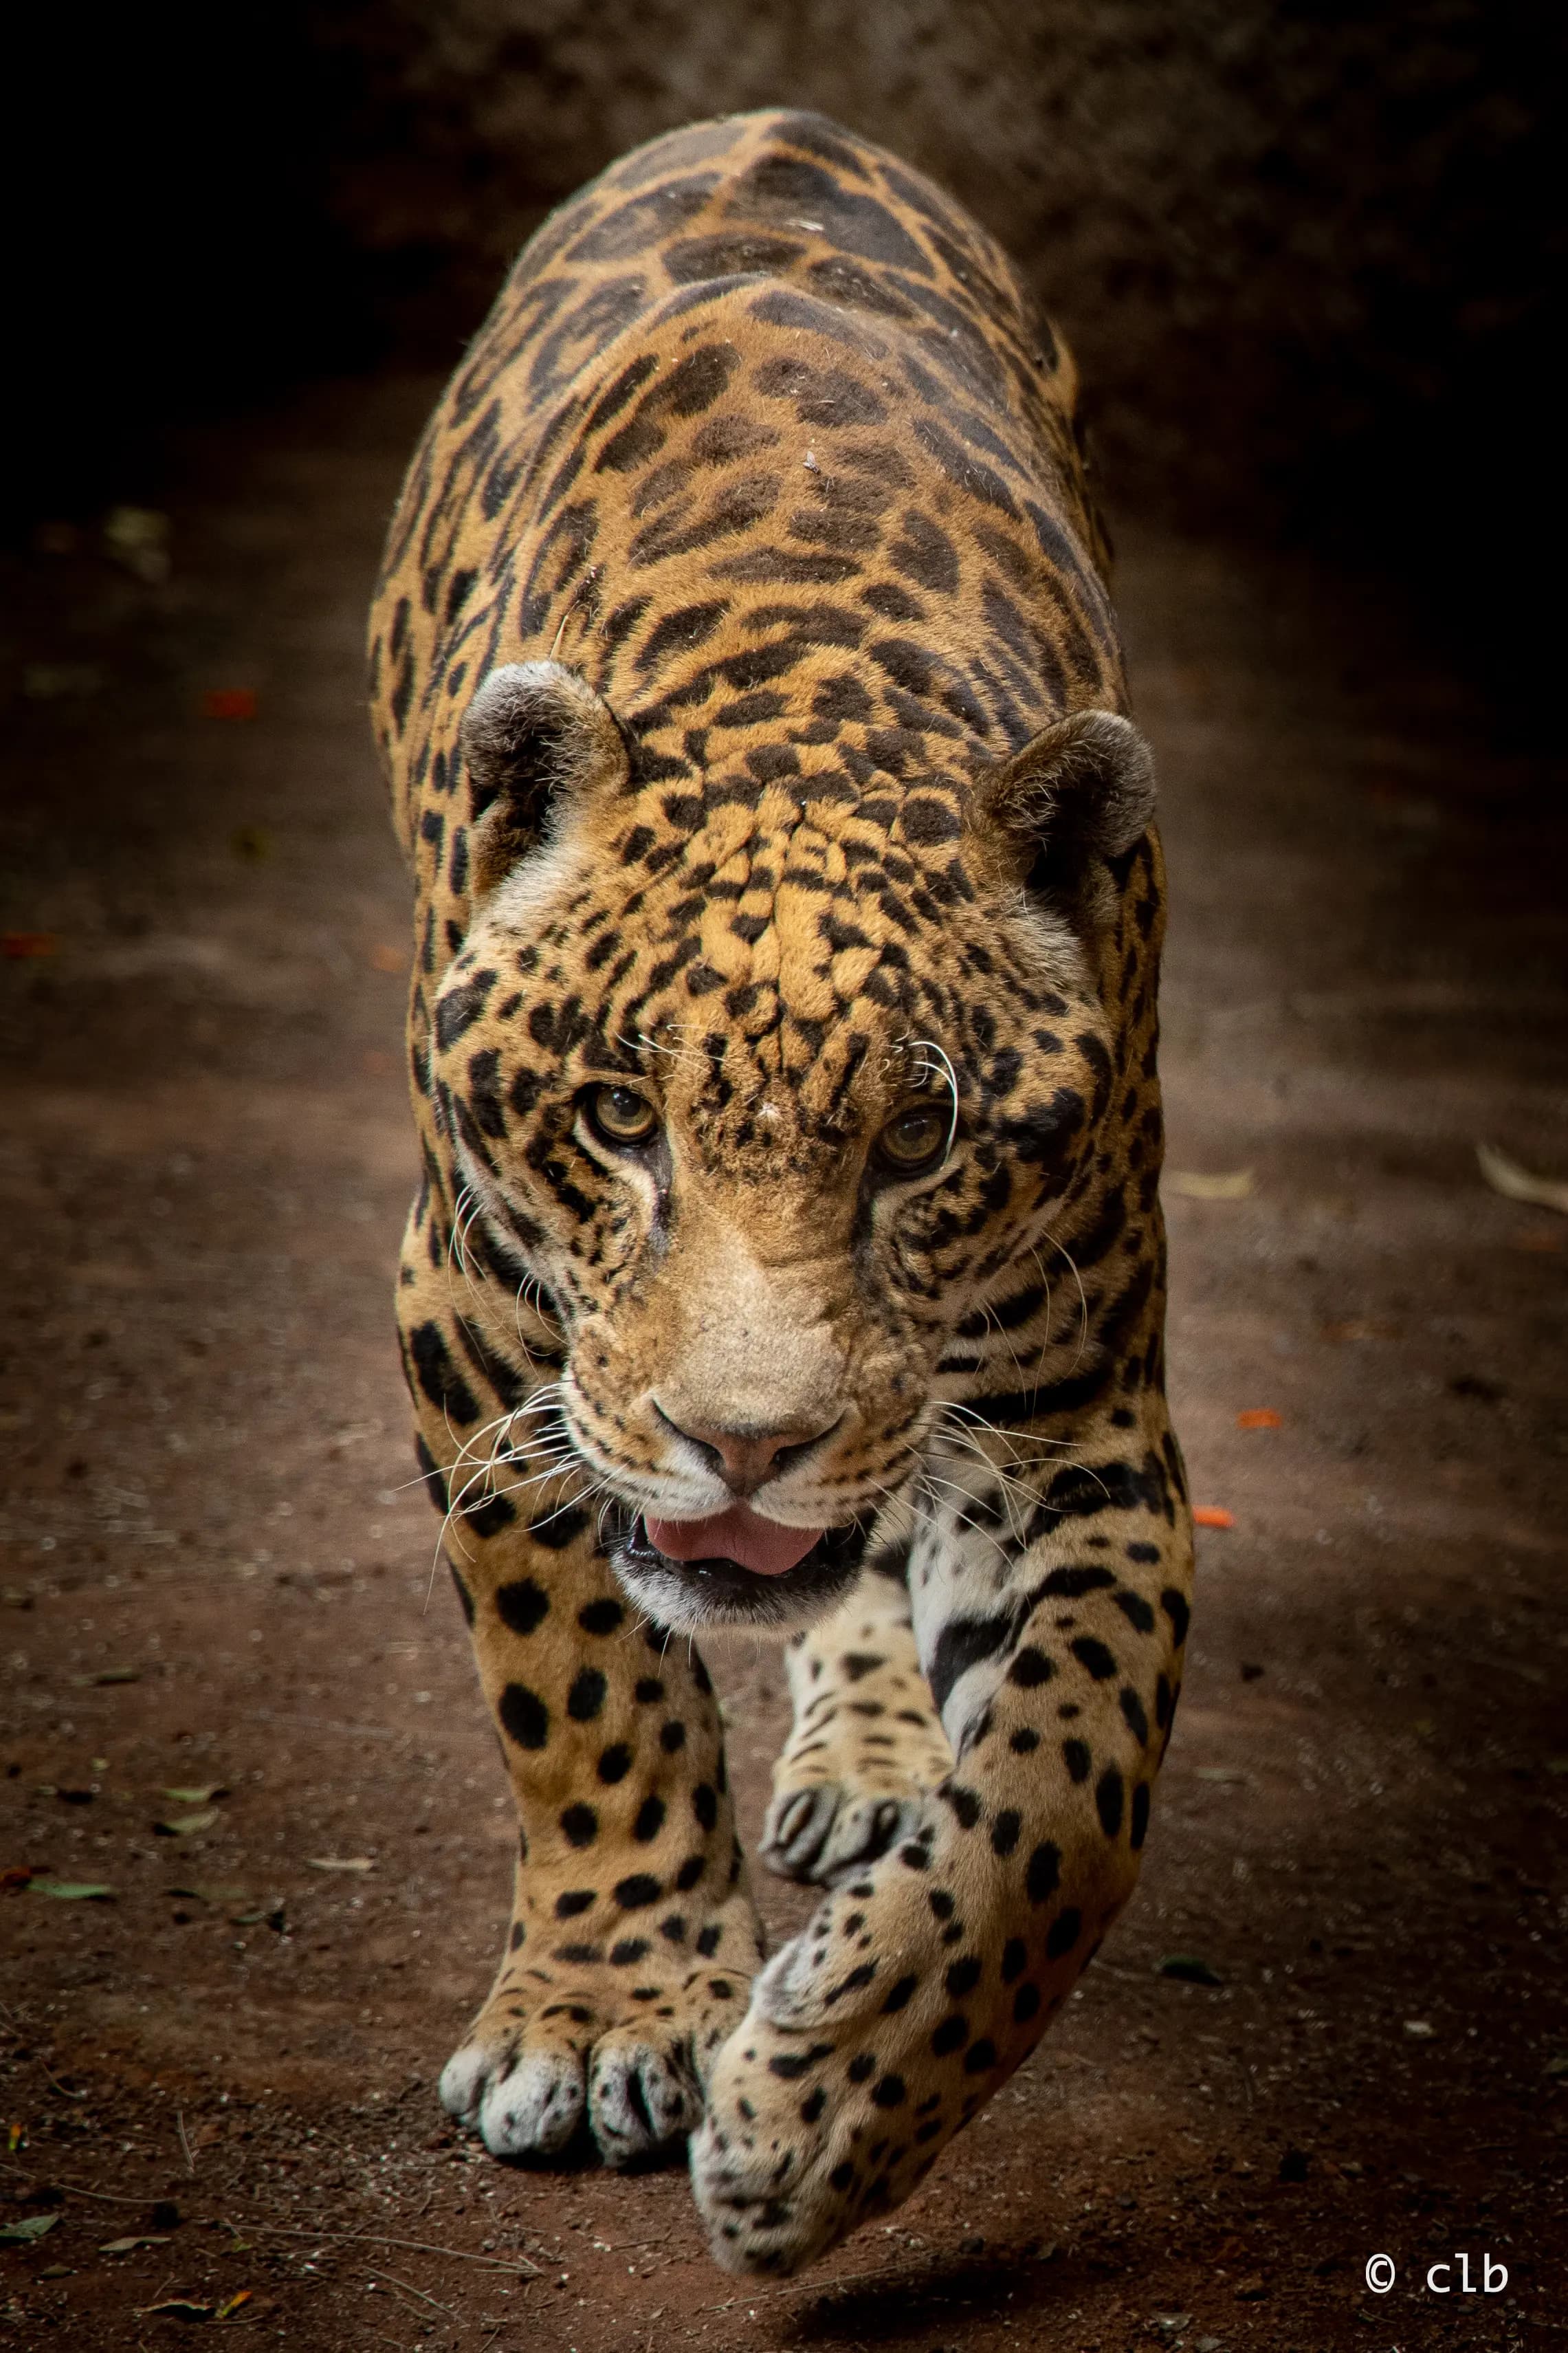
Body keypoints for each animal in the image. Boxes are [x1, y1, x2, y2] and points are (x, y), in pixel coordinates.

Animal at [367, 106, 1193, 2279]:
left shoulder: (1080, 1408)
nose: (746, 1443)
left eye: (917, 1144)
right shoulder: (478, 1321)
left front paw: (827, 2104)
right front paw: (608, 2015)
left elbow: (1071, 1789)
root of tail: (778, 118)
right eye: (615, 1119)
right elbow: (581, 1666)